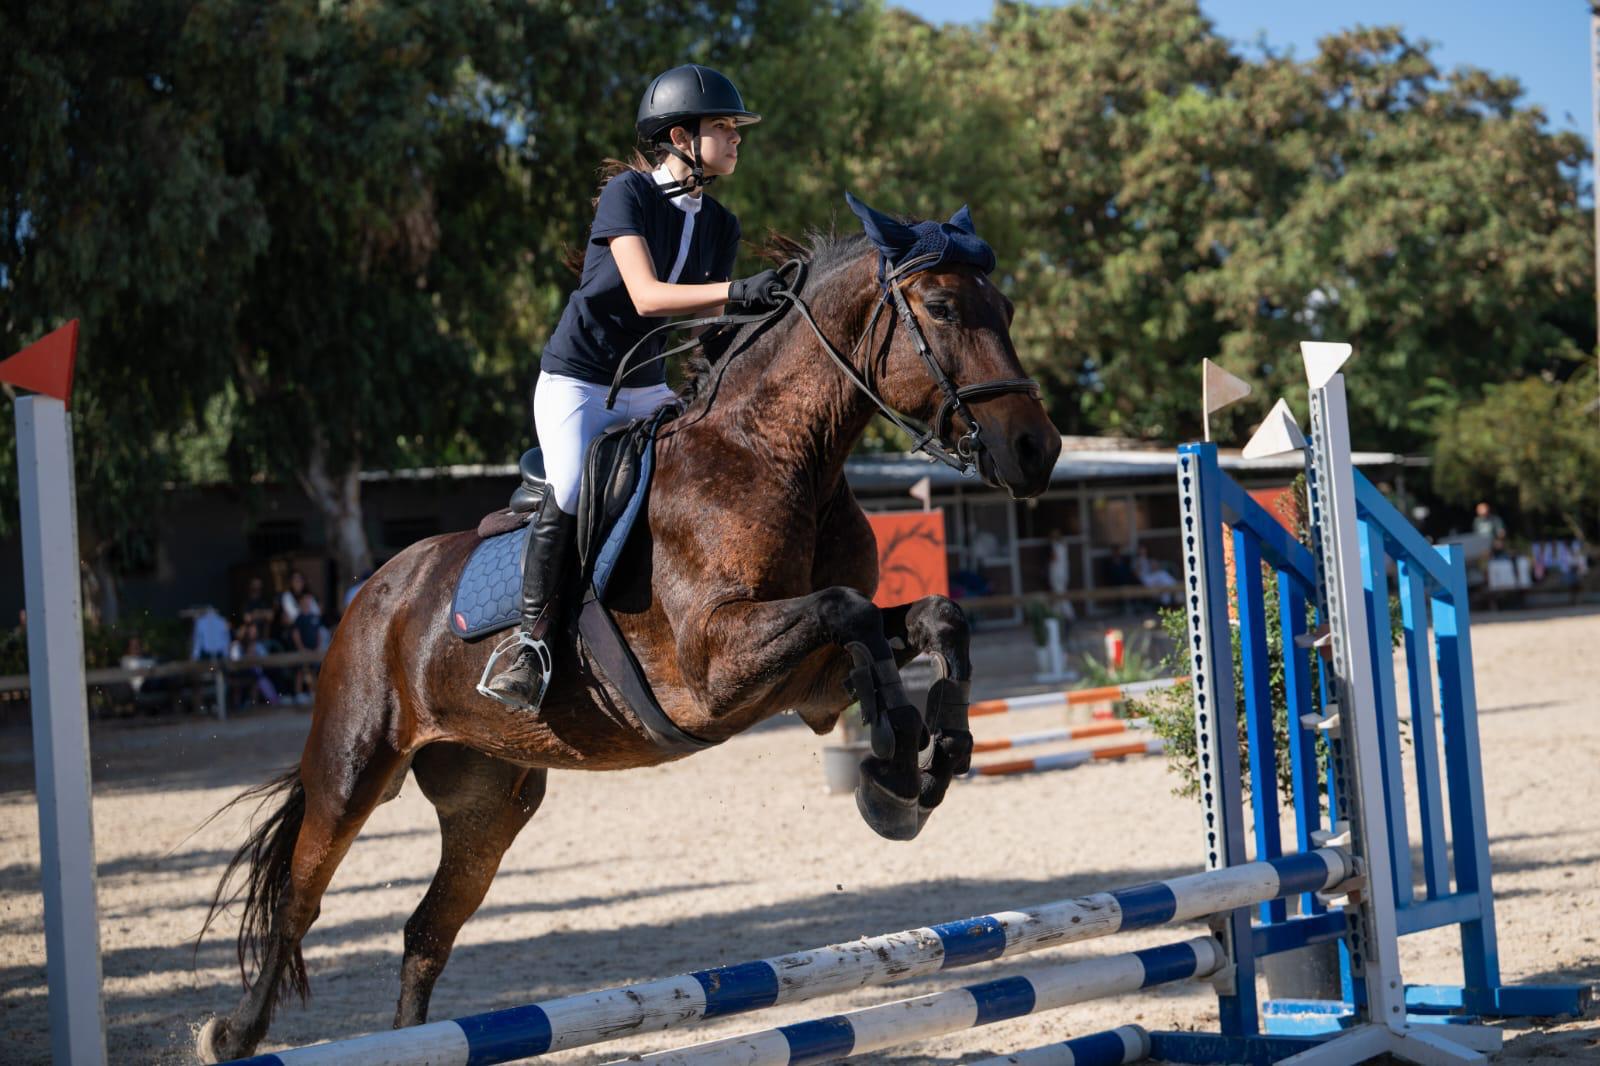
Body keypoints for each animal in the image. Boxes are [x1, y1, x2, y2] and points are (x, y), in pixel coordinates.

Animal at [196, 224, 1062, 1056]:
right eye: (942, 309)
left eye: (1008, 309)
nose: (1037, 450)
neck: (778, 453)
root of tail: (370, 593)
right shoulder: (717, 664)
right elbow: (849, 611)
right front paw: (895, 761)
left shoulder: (808, 679)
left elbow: (930, 618)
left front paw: (931, 758)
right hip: (354, 767)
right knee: (299, 902)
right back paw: (232, 1033)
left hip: (487, 801)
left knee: (427, 931)